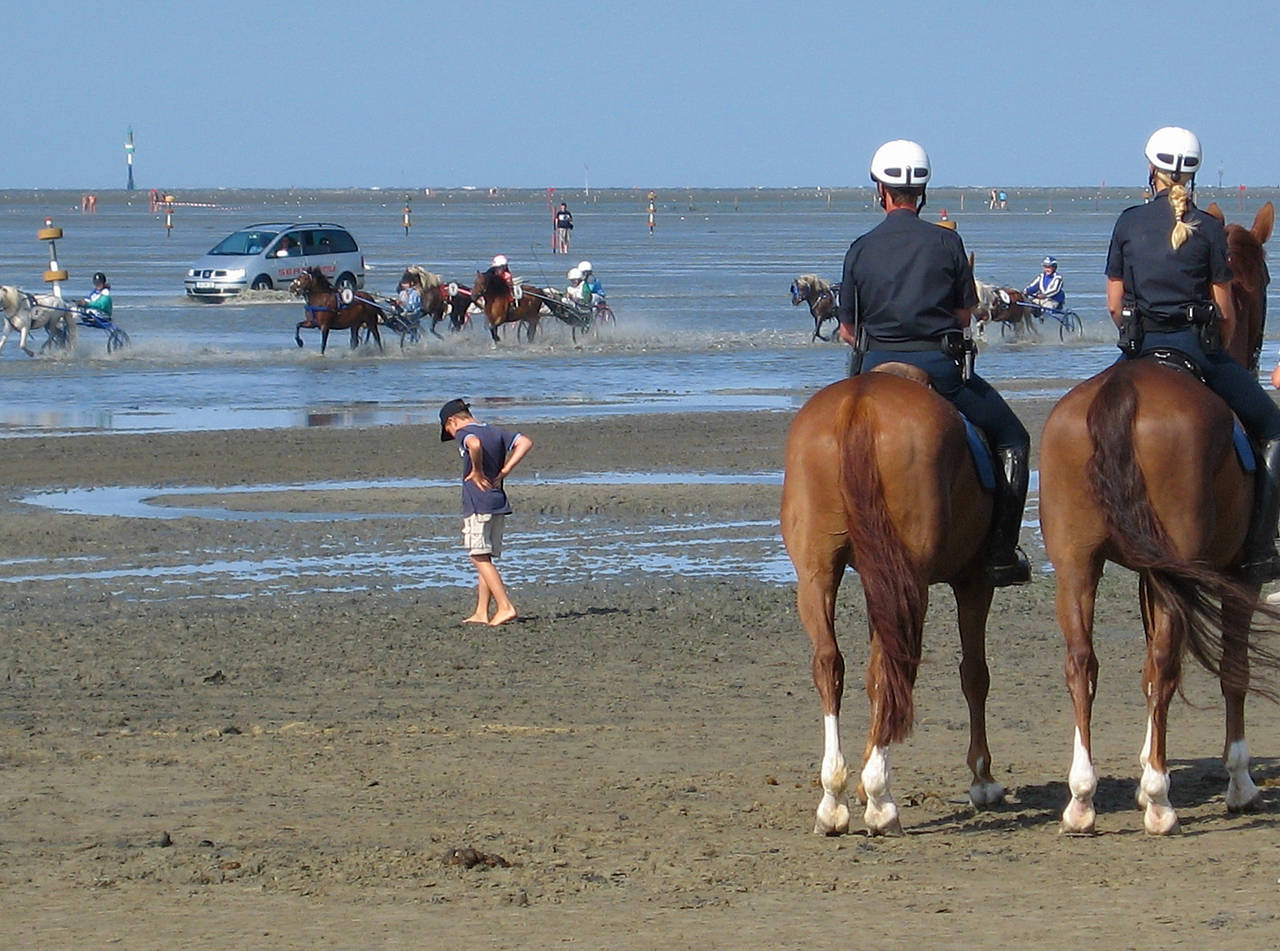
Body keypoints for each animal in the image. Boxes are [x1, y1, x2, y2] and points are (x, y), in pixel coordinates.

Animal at [778, 363, 1008, 834]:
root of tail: (861, 405)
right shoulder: (974, 581)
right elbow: (975, 674)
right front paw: (982, 779)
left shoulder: (874, 583)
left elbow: (871, 678)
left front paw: (859, 787)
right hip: (912, 581)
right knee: (897, 666)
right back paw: (882, 800)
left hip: (817, 573)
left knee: (830, 663)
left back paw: (834, 799)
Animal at [1039, 198, 1280, 834]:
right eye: (1266, 280)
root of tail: (1121, 391)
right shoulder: (1241, 574)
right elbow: (1231, 666)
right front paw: (1238, 780)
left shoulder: (1148, 573)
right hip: (1178, 566)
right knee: (1169, 664)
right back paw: (1161, 801)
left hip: (1077, 564)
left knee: (1082, 662)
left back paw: (1082, 798)